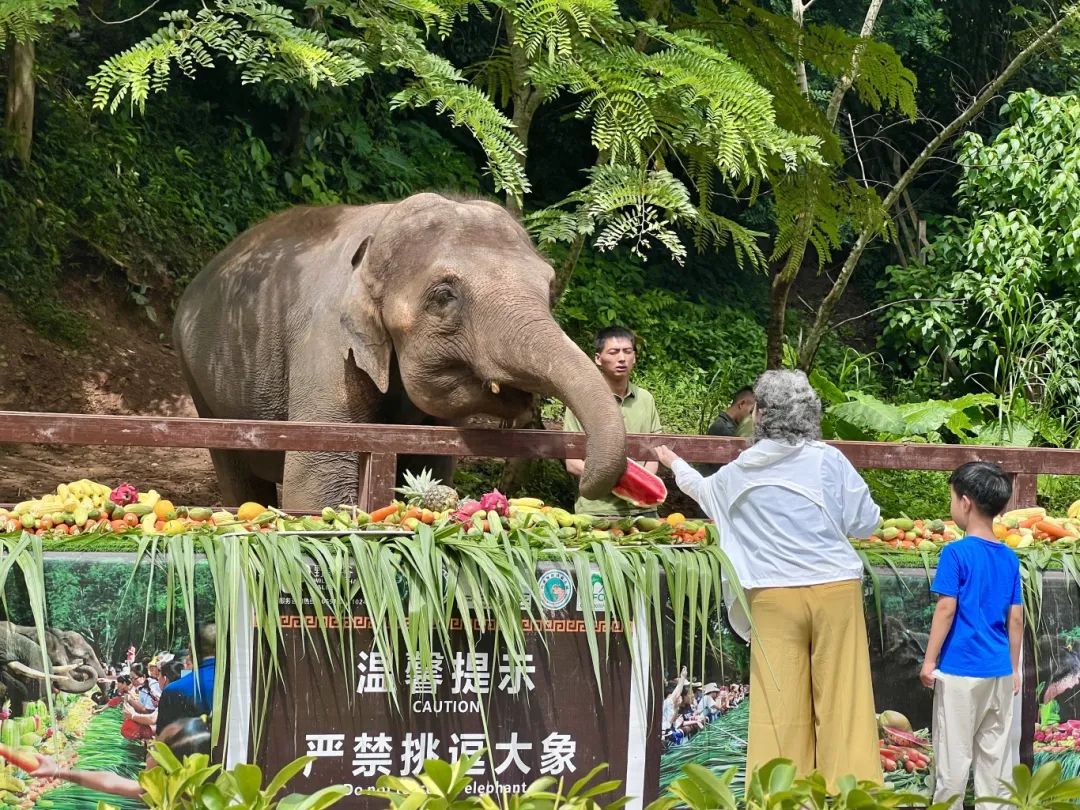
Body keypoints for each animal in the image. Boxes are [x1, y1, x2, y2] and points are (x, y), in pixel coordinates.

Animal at [173, 192, 630, 507]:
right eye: (444, 296)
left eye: (550, 289)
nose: (583, 475)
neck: (380, 228)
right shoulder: (324, 346)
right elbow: (318, 483)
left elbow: (425, 467)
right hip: (200, 382)